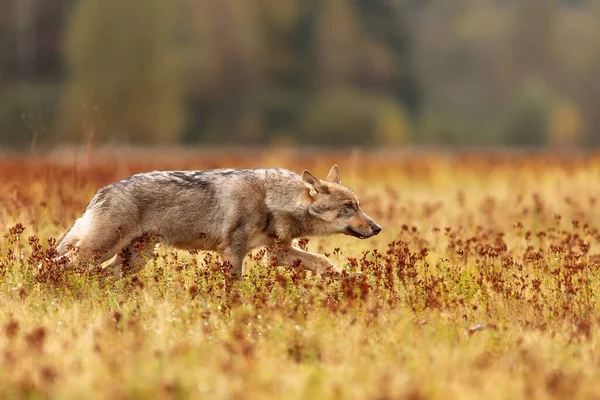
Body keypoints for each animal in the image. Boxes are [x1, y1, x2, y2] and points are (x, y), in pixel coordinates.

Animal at [55, 164, 380, 280]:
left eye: (359, 206)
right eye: (349, 207)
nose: (377, 228)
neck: (273, 200)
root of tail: (101, 191)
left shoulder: (279, 254)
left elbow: (325, 261)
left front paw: (351, 278)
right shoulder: (233, 251)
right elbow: (235, 283)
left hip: (134, 259)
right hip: (100, 251)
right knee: (54, 263)